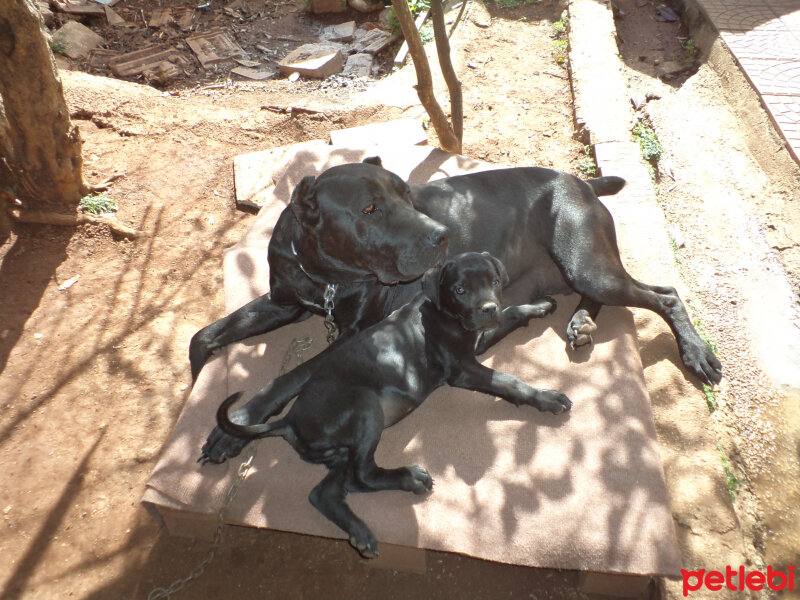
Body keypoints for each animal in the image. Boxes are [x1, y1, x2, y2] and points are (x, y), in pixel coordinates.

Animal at [197, 157, 720, 462]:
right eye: (369, 209)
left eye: (406, 193)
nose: (441, 236)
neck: (324, 272)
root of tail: (579, 179)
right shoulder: (283, 302)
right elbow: (207, 334)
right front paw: (202, 369)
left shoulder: (355, 333)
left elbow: (291, 375)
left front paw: (237, 425)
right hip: (576, 269)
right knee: (599, 295)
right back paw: (581, 323)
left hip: (587, 262)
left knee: (663, 294)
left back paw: (697, 354)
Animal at [212, 251, 568, 556]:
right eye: (460, 289)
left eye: (494, 281)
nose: (487, 308)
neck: (440, 310)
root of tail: (288, 421)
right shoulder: (464, 368)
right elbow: (510, 381)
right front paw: (548, 397)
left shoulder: (479, 340)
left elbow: (511, 313)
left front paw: (539, 306)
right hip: (367, 407)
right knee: (363, 476)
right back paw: (410, 478)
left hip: (341, 451)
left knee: (326, 491)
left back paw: (360, 533)